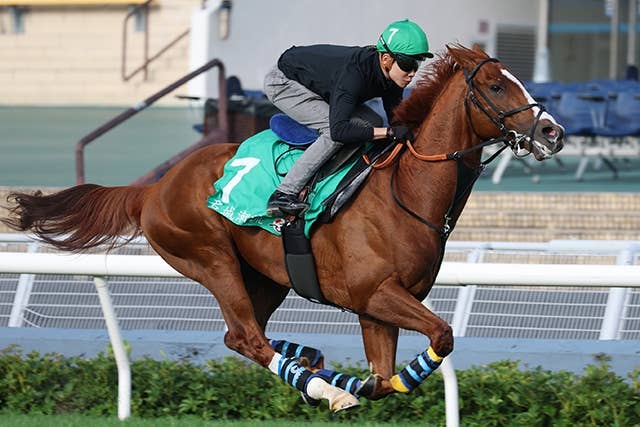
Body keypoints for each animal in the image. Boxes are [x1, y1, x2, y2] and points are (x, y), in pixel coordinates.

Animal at [2, 44, 564, 411]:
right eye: (496, 85)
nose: (552, 131)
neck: (406, 192)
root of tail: (155, 187)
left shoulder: (377, 307)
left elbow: (383, 380)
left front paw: (358, 384)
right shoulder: (376, 293)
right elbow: (442, 337)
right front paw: (344, 387)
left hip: (267, 277)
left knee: (242, 335)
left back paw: (313, 363)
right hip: (211, 259)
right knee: (248, 337)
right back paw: (319, 382)